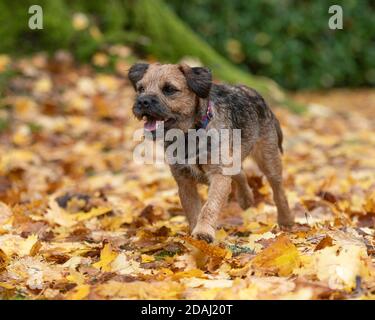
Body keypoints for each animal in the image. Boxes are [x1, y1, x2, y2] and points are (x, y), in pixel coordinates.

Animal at [129, 63, 296, 242]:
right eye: (140, 89)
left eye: (169, 89)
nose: (142, 101)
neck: (189, 134)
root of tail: (257, 95)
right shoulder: (184, 181)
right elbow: (192, 210)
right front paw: (194, 236)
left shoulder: (218, 174)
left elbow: (210, 205)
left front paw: (203, 232)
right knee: (240, 174)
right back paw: (246, 199)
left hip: (268, 159)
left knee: (278, 190)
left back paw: (286, 220)